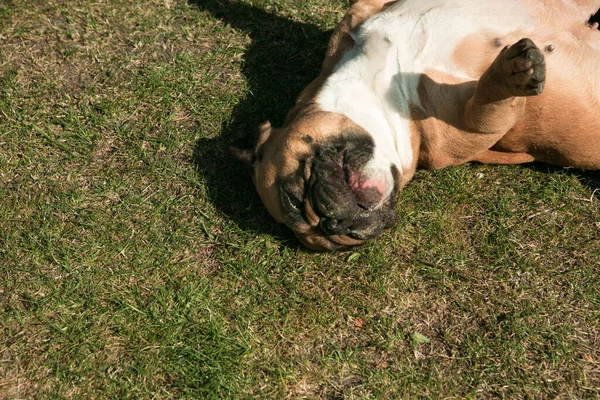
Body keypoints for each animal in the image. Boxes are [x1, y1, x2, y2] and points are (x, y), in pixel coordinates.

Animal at [229, 0, 600, 250]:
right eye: (333, 243)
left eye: (293, 197)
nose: (335, 224)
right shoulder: (473, 129)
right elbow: (484, 105)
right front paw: (510, 75)